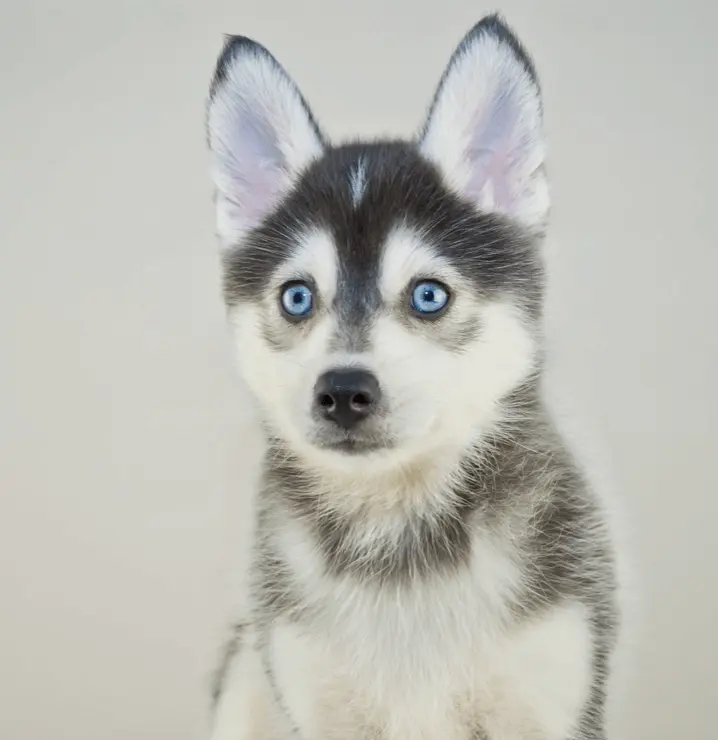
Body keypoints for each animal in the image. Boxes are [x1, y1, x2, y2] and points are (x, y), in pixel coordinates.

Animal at [205, 13, 620, 740]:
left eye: (429, 295)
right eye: (296, 297)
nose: (344, 392)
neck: (397, 530)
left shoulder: (552, 691)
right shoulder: (312, 695)